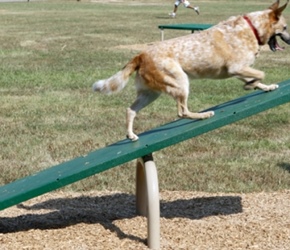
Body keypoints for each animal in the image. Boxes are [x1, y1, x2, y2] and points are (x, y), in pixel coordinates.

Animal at [93, 0, 290, 142]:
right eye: (286, 28)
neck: (252, 28)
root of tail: (141, 55)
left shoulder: (239, 70)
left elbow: (257, 79)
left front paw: (265, 87)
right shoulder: (237, 67)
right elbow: (260, 74)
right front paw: (252, 85)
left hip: (150, 93)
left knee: (130, 110)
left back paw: (131, 135)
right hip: (180, 82)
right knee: (182, 112)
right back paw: (203, 115)